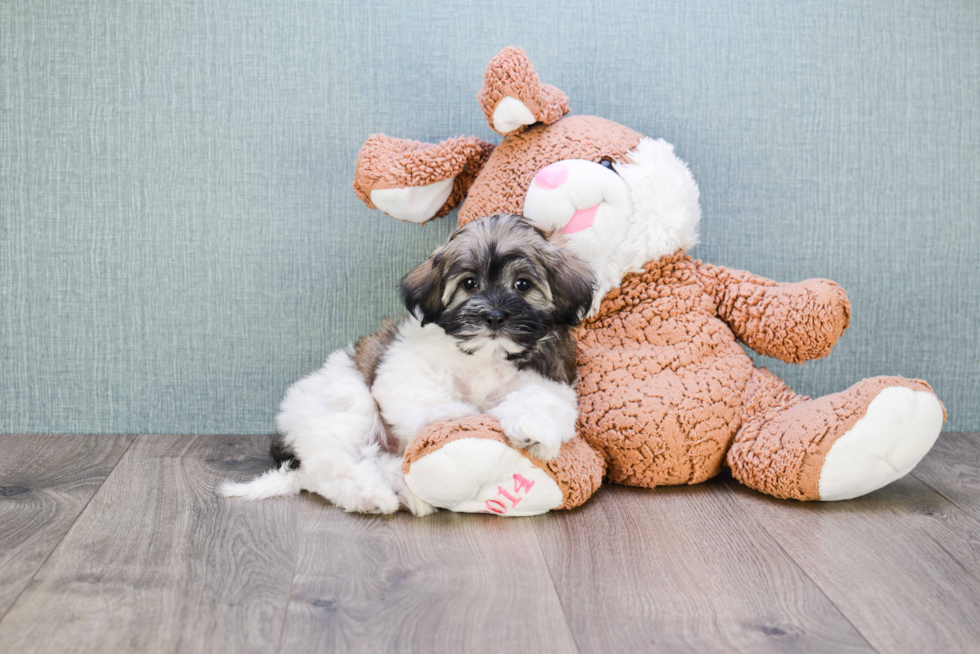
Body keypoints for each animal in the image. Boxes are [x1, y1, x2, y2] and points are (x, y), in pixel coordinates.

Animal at [220, 215, 588, 516]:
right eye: (469, 283)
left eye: (523, 284)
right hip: (344, 403)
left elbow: (541, 399)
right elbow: (428, 397)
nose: (494, 316)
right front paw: (463, 416)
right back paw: (373, 496)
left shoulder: (551, 379)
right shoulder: (404, 368)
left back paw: (403, 488)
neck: (485, 356)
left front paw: (531, 430)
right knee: (334, 466)